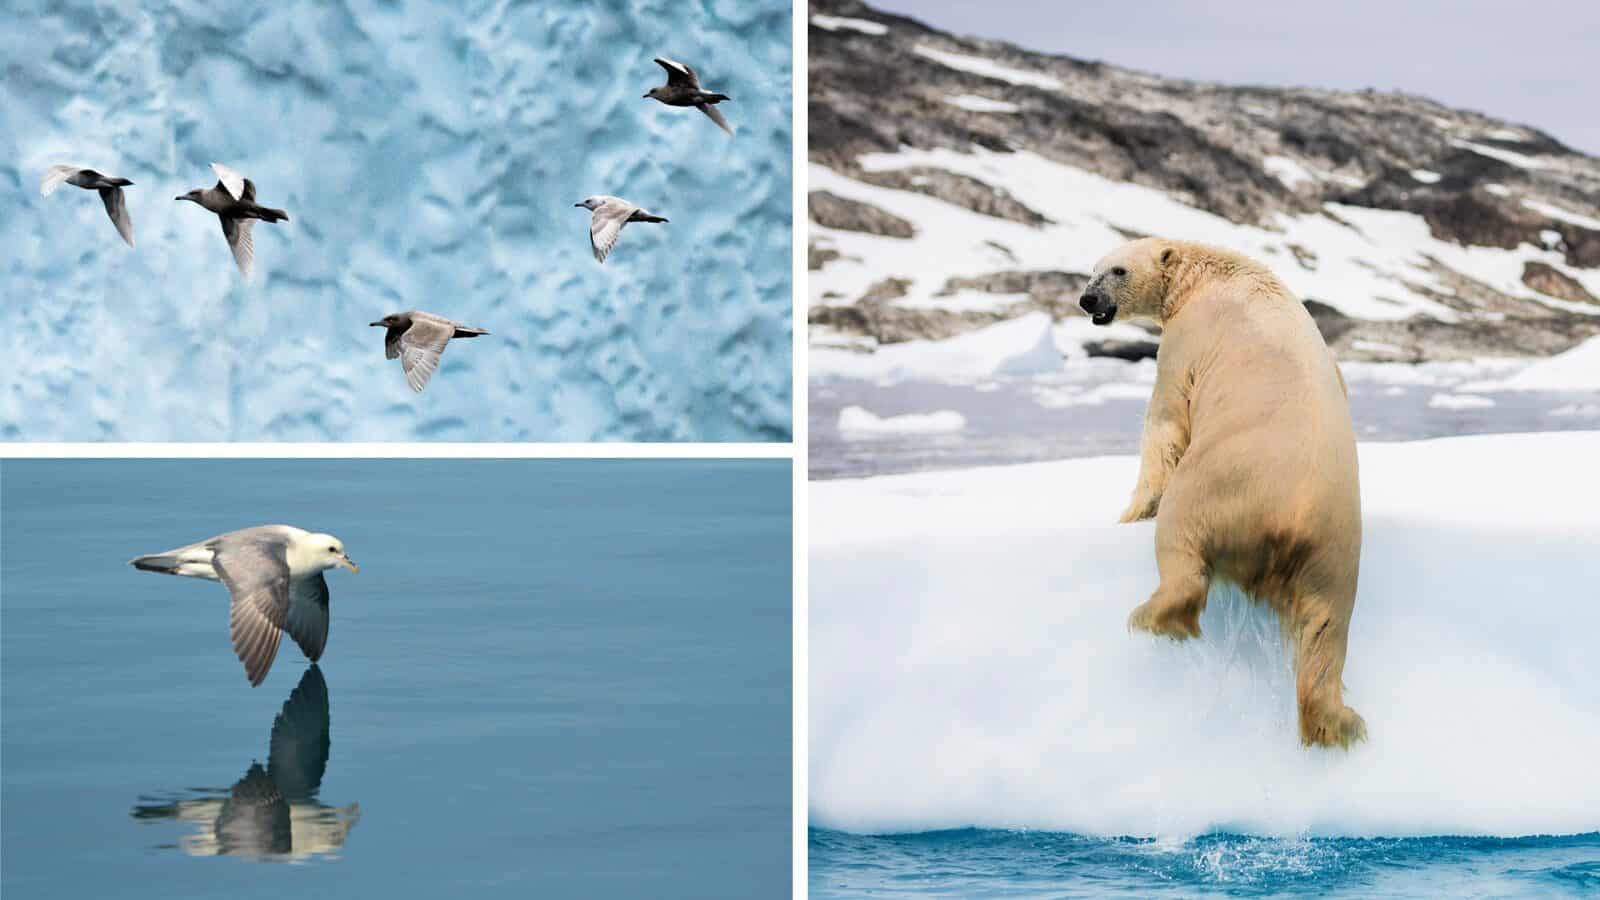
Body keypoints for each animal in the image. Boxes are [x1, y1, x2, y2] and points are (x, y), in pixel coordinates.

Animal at [1079, 237, 1366, 749]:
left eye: (1117, 270)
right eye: (1091, 269)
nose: (1087, 299)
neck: (1208, 274)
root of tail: (1290, 525)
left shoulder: (1186, 340)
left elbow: (1166, 419)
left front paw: (1130, 513)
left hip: (1217, 489)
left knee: (1181, 542)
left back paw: (1154, 617)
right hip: (1334, 555)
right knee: (1325, 630)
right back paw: (1335, 721)